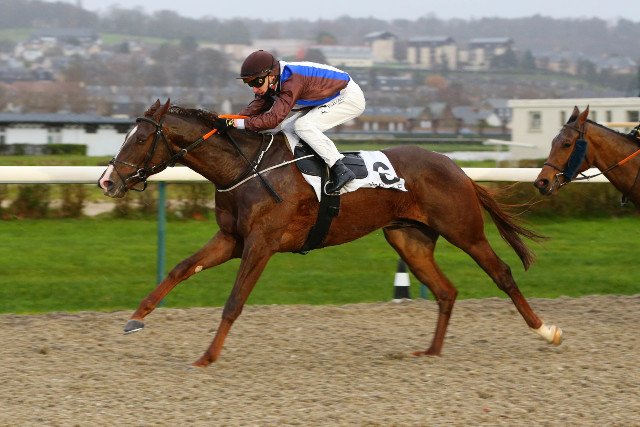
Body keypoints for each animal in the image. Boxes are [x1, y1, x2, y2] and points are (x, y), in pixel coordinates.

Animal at [99, 99, 562, 367]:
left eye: (139, 137)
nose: (106, 181)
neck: (245, 170)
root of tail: (457, 168)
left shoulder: (261, 244)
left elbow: (233, 302)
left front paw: (207, 356)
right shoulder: (232, 240)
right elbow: (180, 268)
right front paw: (136, 318)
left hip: (464, 230)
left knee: (502, 273)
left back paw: (546, 331)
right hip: (408, 239)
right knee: (446, 290)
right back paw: (430, 351)